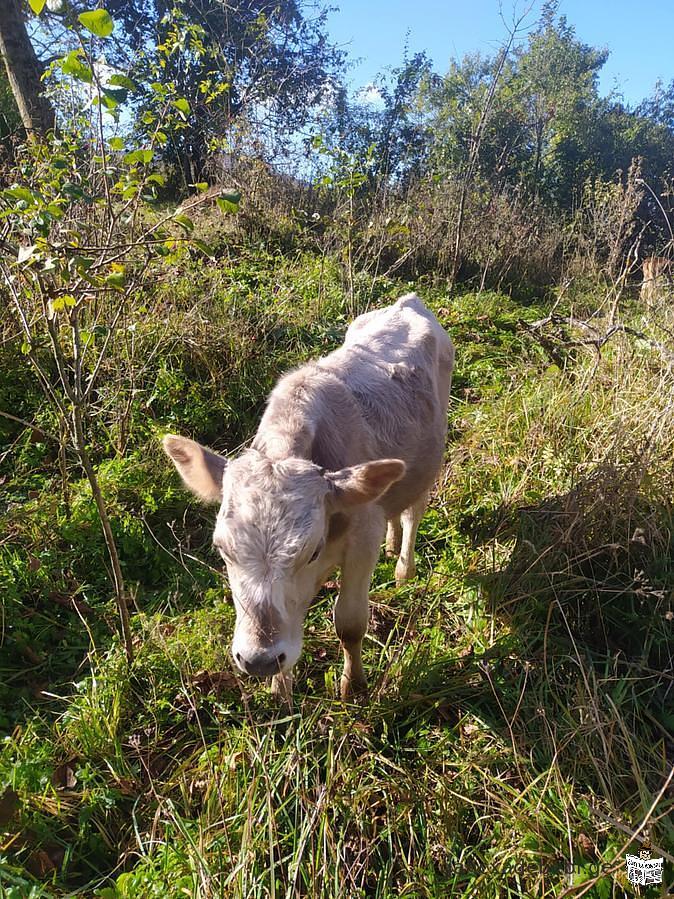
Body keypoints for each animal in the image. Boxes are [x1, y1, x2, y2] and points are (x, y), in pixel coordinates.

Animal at [164, 296, 452, 704]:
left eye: (311, 550)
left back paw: (403, 568)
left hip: (430, 461)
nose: (258, 660)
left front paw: (353, 687)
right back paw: (393, 541)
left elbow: (349, 623)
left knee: (414, 512)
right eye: (223, 550)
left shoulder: (362, 539)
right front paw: (279, 691)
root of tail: (407, 302)